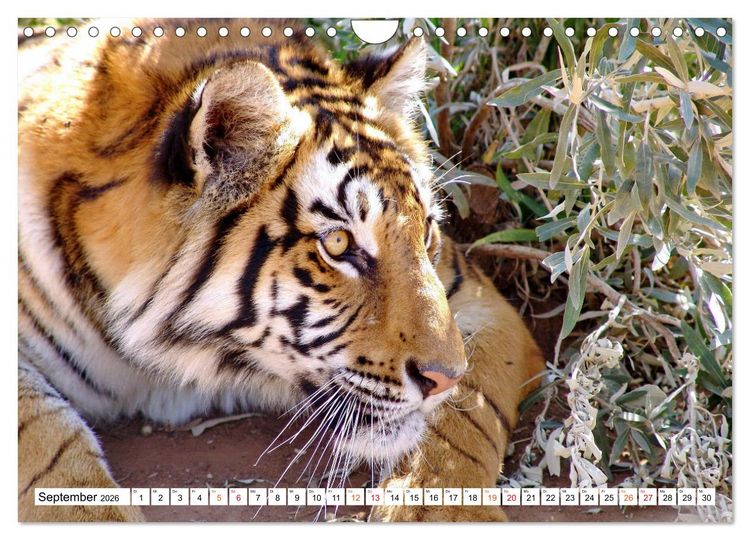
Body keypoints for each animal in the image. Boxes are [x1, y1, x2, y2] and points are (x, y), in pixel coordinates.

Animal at [18, 18, 545, 522]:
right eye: (338, 243)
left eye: (427, 231)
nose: (443, 379)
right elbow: (45, 445)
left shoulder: (479, 298)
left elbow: (468, 413)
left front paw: (444, 513)